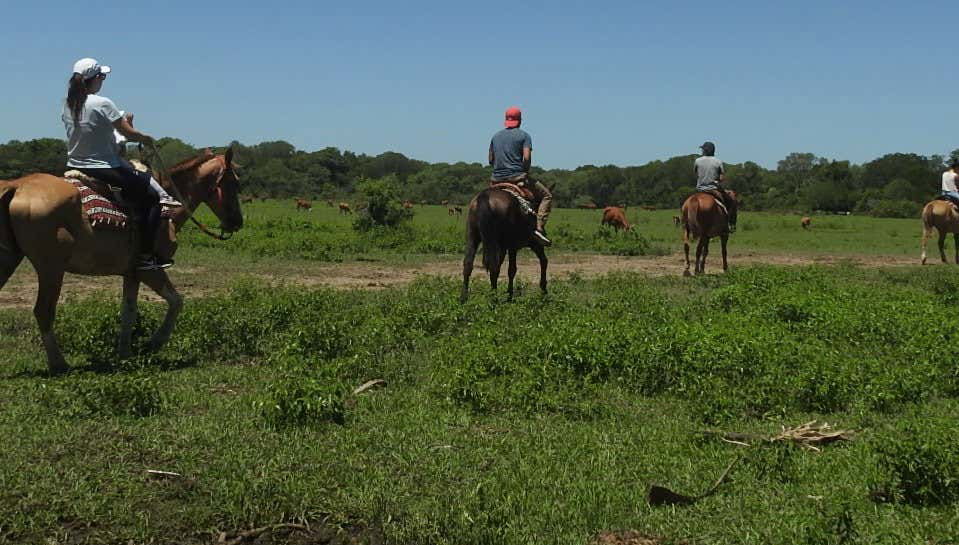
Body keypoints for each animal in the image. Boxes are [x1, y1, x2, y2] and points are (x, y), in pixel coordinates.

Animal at [0, 148, 243, 373]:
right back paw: (59, 363)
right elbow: (176, 301)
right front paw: (154, 343)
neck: (169, 208)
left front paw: (125, 354)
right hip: (50, 269)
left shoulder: (132, 272)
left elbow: (128, 312)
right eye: (234, 183)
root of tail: (17, 186)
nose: (237, 222)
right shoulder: (150, 269)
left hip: (11, 260)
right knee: (43, 311)